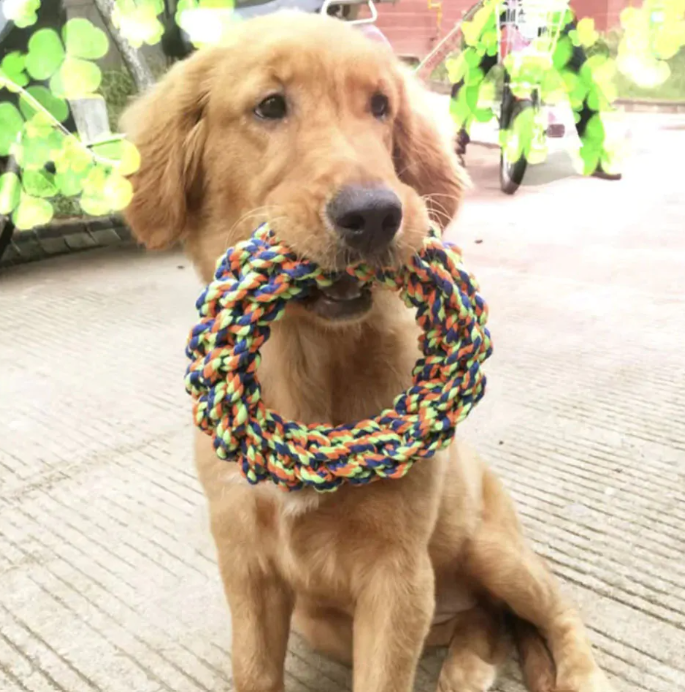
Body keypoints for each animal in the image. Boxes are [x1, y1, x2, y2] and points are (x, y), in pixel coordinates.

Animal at [122, 12, 613, 692]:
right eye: (270, 106)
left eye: (381, 106)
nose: (376, 214)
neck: (306, 366)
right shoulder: (248, 570)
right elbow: (253, 669)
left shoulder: (397, 577)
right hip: (327, 620)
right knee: (480, 616)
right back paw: (468, 666)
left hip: (490, 548)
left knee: (553, 609)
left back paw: (572, 673)